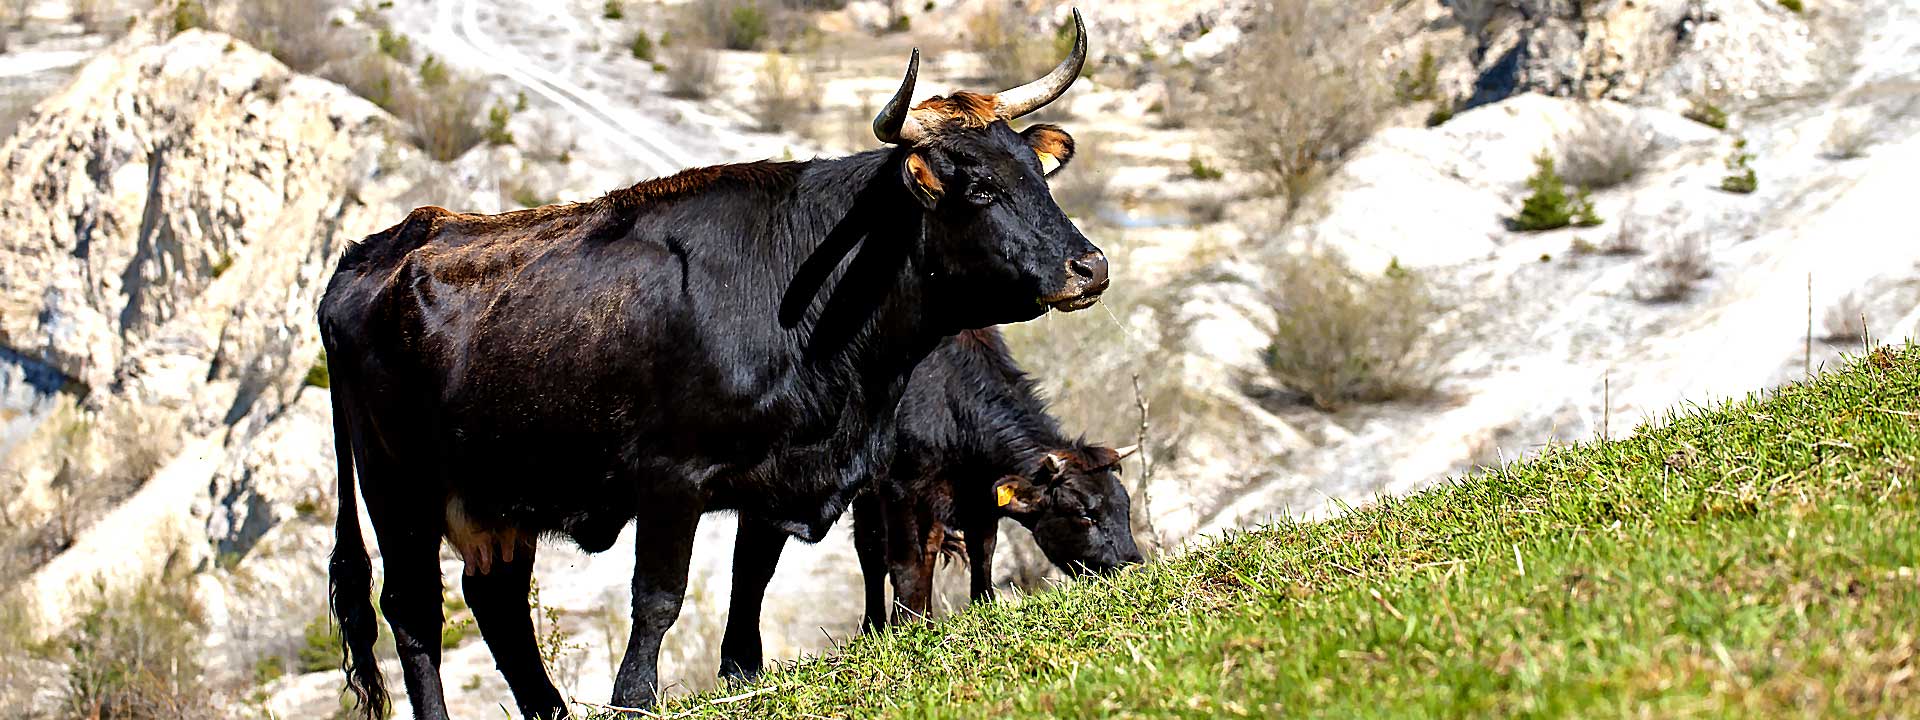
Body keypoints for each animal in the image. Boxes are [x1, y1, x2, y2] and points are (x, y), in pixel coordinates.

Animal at [718, 326, 1136, 683]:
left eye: (1124, 506)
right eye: (1084, 514)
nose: (1132, 564)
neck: (949, 399)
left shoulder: (977, 492)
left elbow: (982, 549)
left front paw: (983, 606)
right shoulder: (901, 486)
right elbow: (904, 562)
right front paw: (910, 628)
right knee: (870, 552)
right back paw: (874, 628)